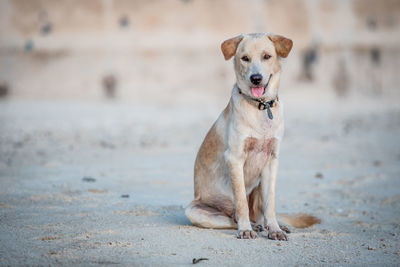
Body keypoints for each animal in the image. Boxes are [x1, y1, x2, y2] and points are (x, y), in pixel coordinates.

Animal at [186, 33, 320, 241]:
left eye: (267, 56)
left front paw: (275, 229)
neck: (261, 107)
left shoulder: (271, 160)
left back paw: (271, 225)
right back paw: (251, 226)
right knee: (231, 218)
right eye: (245, 58)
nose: (256, 78)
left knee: (259, 213)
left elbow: (270, 203)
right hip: (194, 210)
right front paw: (245, 229)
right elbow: (241, 201)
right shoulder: (234, 158)